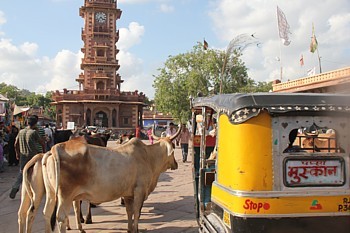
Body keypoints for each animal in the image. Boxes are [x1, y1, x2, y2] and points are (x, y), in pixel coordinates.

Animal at [41, 127, 180, 233]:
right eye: (173, 147)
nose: (176, 164)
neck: (148, 157)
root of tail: (56, 148)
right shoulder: (139, 191)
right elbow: (136, 213)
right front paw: (136, 230)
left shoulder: (128, 194)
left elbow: (129, 212)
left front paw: (129, 229)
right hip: (65, 195)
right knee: (61, 218)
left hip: (51, 193)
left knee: (47, 213)